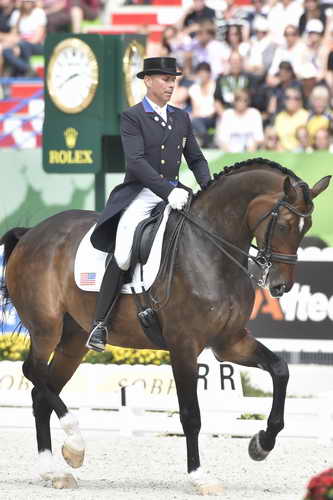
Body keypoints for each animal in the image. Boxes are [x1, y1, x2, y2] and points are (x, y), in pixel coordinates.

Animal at [0, 158, 330, 494]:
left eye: (306, 228)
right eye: (285, 224)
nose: (279, 287)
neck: (209, 249)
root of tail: (31, 233)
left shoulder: (230, 342)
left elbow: (280, 370)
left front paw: (261, 444)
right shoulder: (183, 345)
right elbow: (191, 415)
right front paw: (200, 476)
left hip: (74, 340)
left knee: (42, 394)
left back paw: (53, 470)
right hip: (46, 328)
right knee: (32, 371)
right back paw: (75, 446)